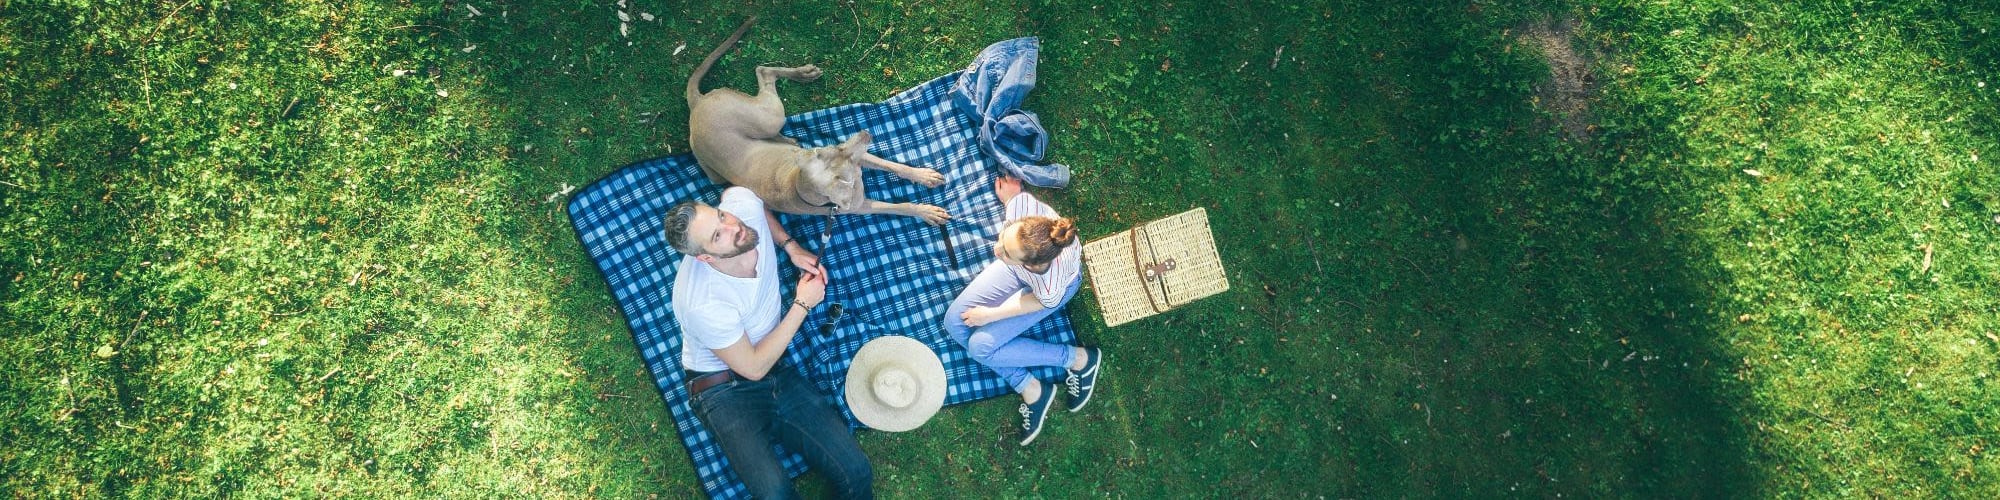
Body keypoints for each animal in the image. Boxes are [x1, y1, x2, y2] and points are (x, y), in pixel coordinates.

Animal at [688, 17, 952, 225]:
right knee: (764, 72)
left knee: (763, 71)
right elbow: (899, 206)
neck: (800, 185)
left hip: (765, 121)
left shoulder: (860, 155)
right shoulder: (860, 204)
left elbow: (893, 165)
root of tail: (697, 102)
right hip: (756, 128)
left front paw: (923, 176)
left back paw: (803, 78)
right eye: (845, 164)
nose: (864, 133)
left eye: (838, 148)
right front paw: (926, 212)